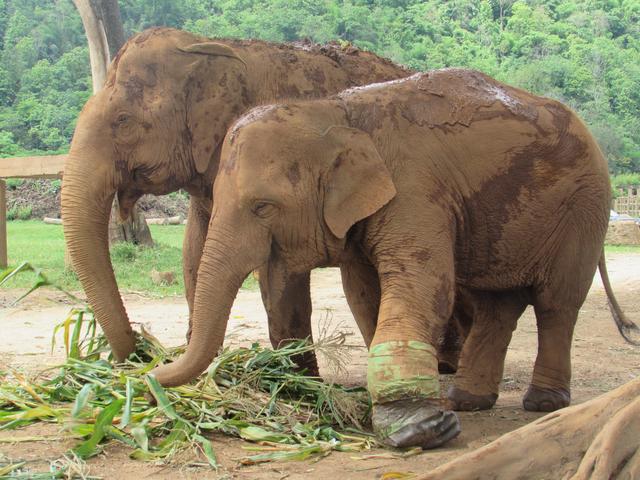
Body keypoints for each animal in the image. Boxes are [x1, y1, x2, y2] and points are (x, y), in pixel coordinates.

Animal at [58, 27, 416, 372]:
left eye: (123, 120)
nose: (141, 353)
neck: (208, 46)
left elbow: (277, 276)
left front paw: (296, 383)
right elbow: (194, 253)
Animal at [151, 67, 640, 450]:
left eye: (262, 207)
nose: (151, 367)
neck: (333, 111)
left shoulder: (415, 191)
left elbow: (421, 283)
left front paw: (420, 429)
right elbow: (363, 293)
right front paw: (417, 416)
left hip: (584, 207)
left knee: (557, 303)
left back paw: (542, 403)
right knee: (497, 305)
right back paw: (467, 401)